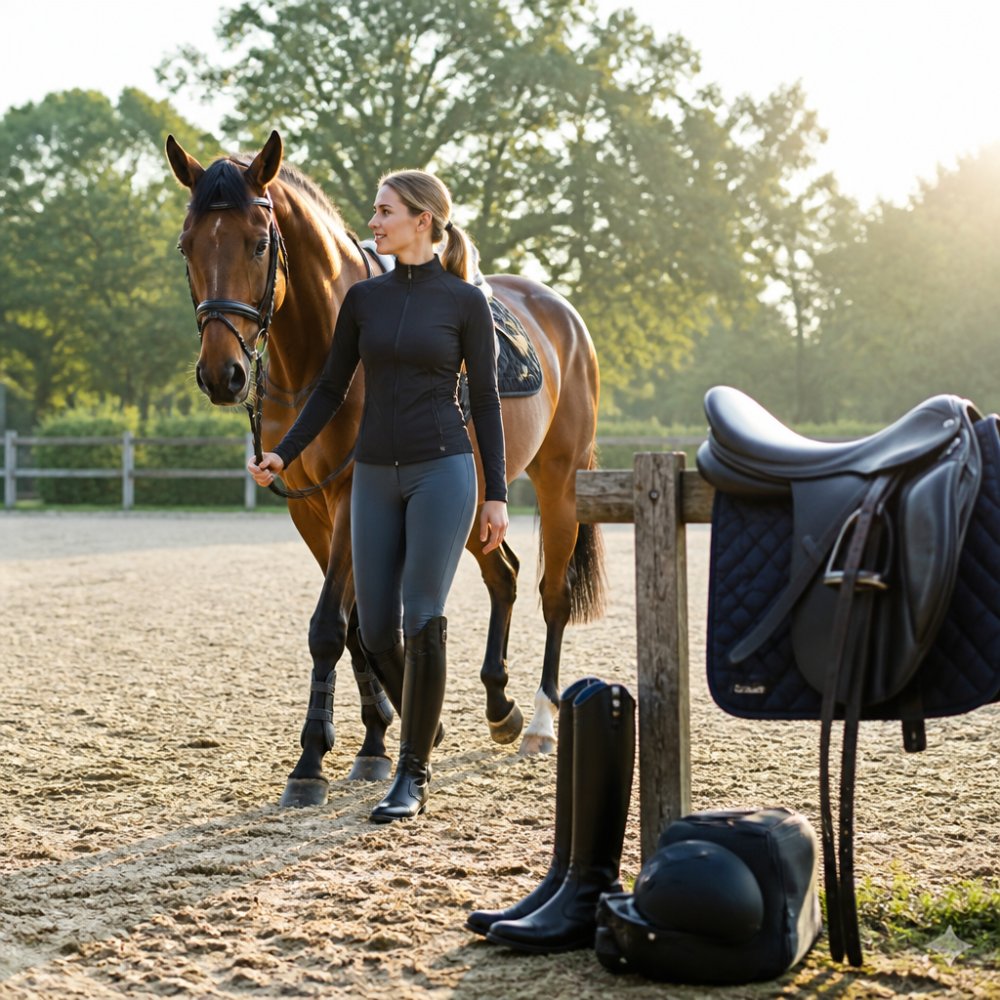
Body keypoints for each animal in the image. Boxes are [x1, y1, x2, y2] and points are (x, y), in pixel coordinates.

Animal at [165, 130, 605, 807]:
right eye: (188, 246)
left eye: (259, 242)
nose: (223, 375)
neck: (320, 351)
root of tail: (564, 315)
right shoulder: (309, 508)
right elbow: (355, 629)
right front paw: (376, 740)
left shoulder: (351, 495)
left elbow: (332, 626)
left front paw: (313, 761)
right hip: (477, 504)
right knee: (503, 576)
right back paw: (498, 707)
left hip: (558, 484)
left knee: (551, 595)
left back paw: (537, 721)